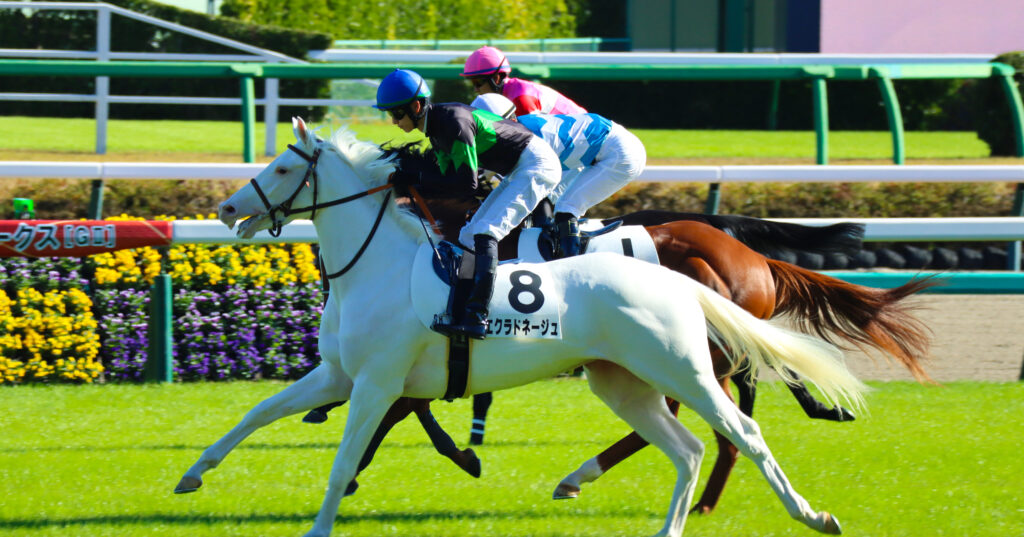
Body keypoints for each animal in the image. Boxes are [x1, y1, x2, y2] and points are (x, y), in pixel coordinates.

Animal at [179, 118, 866, 537]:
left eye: (284, 168)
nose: (226, 208)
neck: (379, 264)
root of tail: (685, 276)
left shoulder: (376, 383)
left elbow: (350, 450)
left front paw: (327, 516)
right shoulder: (337, 376)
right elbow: (257, 414)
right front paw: (193, 475)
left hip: (685, 369)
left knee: (740, 432)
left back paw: (812, 515)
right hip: (623, 382)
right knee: (688, 447)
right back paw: (658, 513)